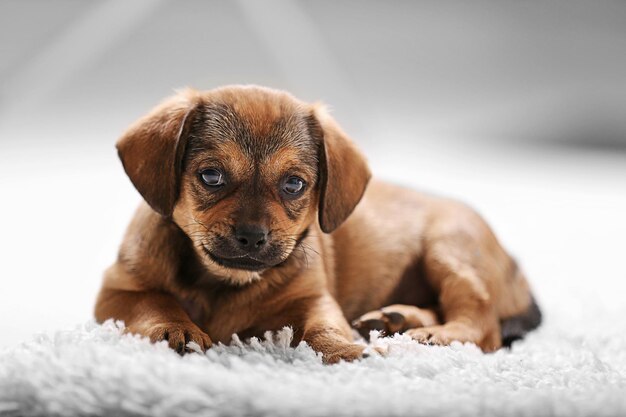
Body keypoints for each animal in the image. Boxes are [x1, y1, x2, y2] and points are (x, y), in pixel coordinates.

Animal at [95, 83, 540, 360]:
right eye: (211, 176)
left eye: (294, 184)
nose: (252, 237)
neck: (222, 283)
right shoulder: (119, 292)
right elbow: (158, 302)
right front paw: (180, 329)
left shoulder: (313, 300)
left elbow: (323, 329)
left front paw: (345, 351)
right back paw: (396, 318)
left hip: (449, 250)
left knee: (482, 323)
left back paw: (433, 334)